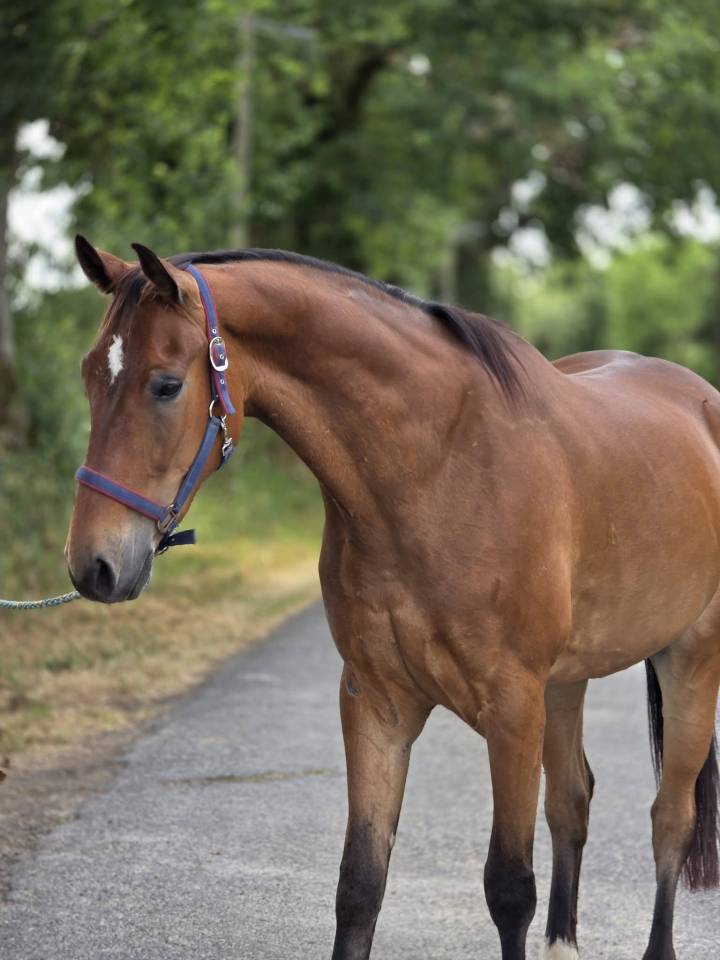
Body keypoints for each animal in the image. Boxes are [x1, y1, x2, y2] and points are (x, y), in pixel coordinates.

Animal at [66, 235, 720, 960]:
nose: (94, 566)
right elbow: (360, 885)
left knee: (671, 818)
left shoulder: (512, 707)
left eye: (166, 384)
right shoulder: (377, 702)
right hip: (566, 683)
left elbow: (508, 889)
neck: (439, 466)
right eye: (90, 376)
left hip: (689, 663)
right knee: (573, 801)